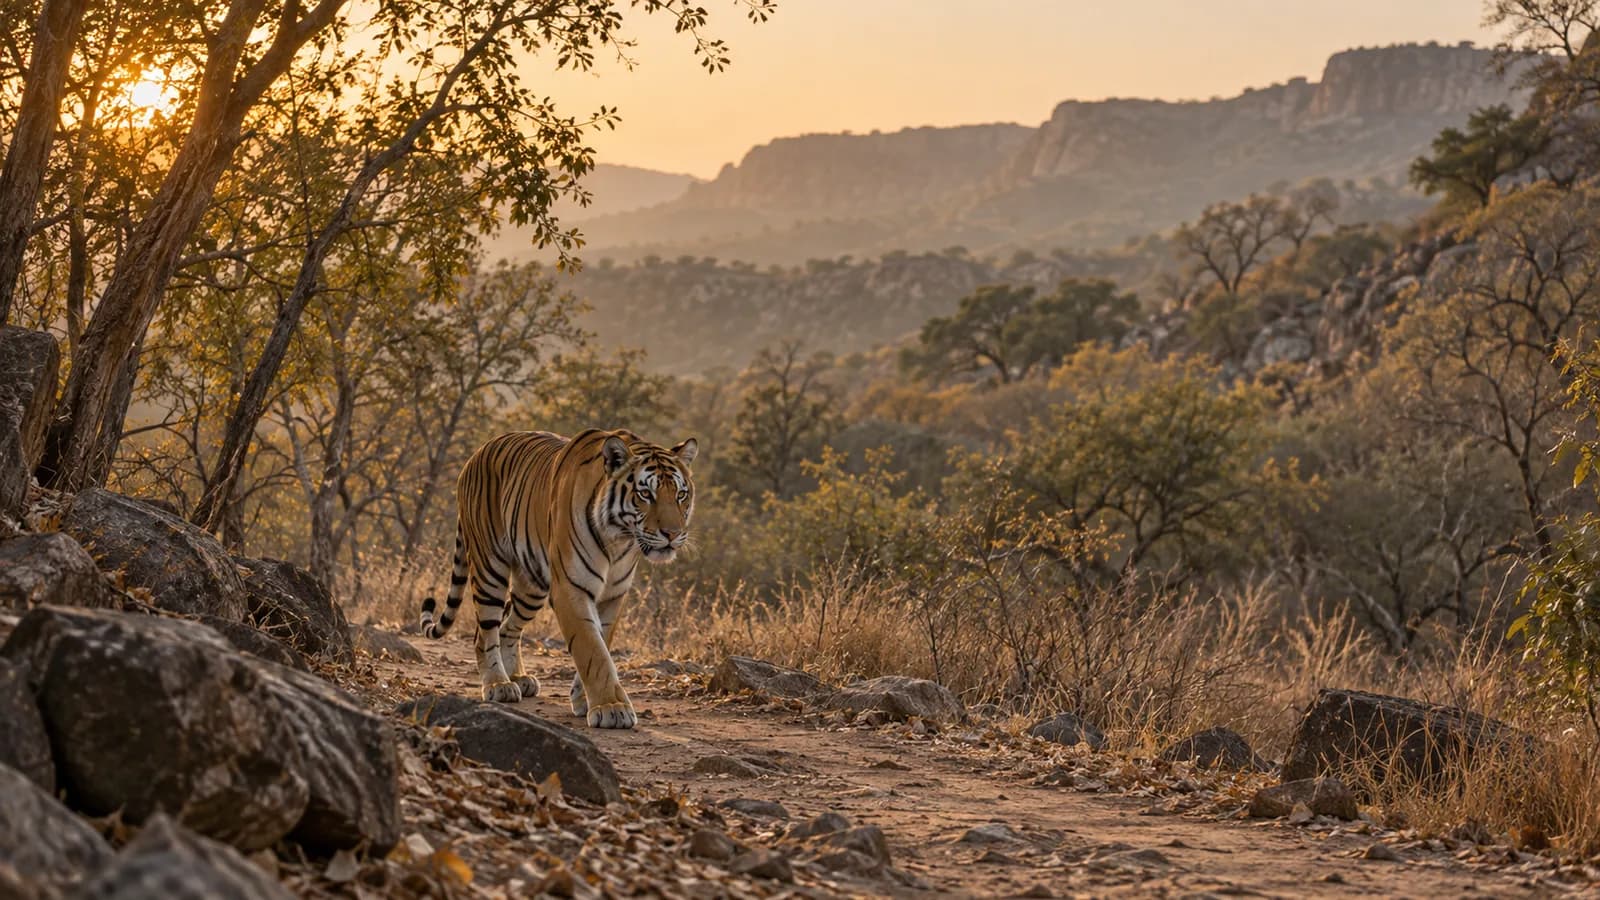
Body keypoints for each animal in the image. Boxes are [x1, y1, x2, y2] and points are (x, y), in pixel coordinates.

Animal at [418, 428, 697, 729]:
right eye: (645, 494)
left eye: (681, 494)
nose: (672, 534)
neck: (620, 539)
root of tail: (475, 454)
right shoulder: (570, 589)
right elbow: (592, 649)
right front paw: (611, 707)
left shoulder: (613, 595)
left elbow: (601, 644)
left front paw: (585, 699)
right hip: (489, 566)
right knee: (484, 632)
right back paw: (498, 685)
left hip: (532, 587)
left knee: (508, 626)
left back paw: (519, 678)